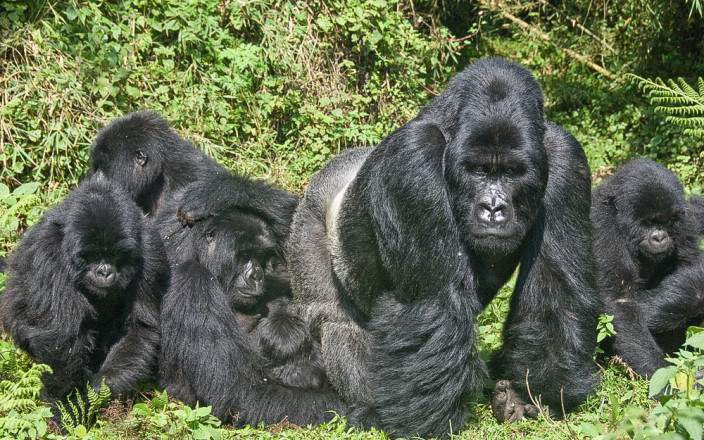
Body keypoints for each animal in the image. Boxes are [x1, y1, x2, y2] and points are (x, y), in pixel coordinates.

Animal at [0, 174, 167, 400]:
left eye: (116, 255)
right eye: (92, 255)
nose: (104, 271)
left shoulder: (151, 251)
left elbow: (138, 327)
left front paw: (99, 387)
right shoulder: (48, 252)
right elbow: (60, 341)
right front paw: (63, 402)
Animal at [286, 55, 600, 436]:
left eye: (511, 172)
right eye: (478, 170)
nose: (493, 208)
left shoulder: (566, 157)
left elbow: (555, 291)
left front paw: (536, 395)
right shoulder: (413, 157)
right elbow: (434, 303)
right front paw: (428, 423)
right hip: (308, 218)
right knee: (333, 319)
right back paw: (370, 409)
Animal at [592, 159, 704, 378]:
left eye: (667, 221)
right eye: (647, 222)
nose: (659, 237)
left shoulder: (685, 220)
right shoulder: (602, 226)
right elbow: (620, 300)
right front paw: (662, 372)